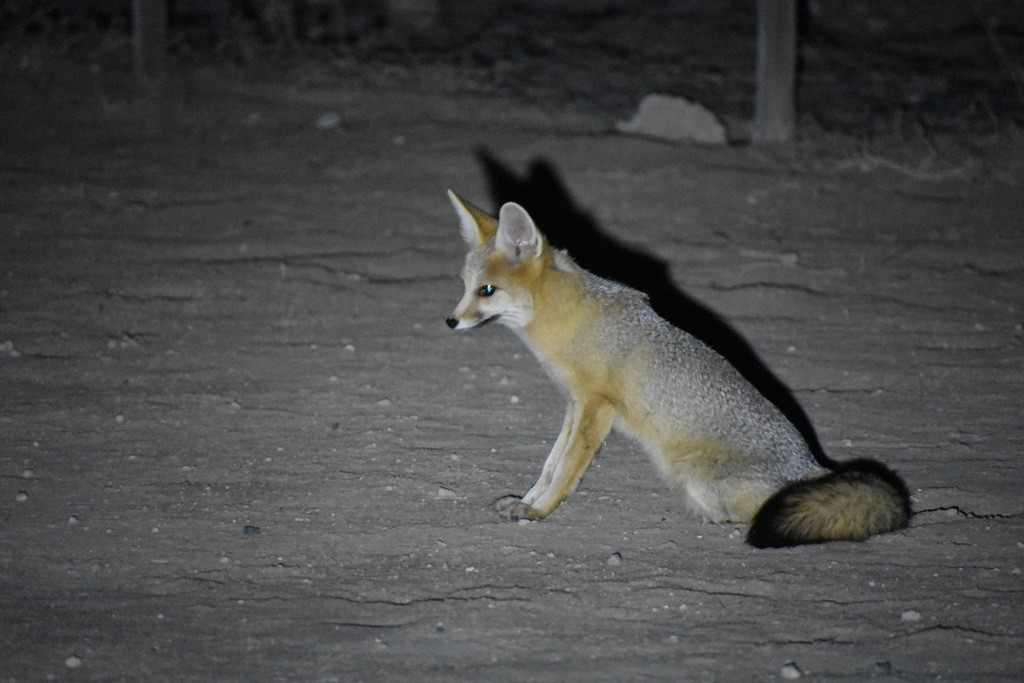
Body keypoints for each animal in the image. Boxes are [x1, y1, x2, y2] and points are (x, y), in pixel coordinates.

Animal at [444, 189, 909, 548]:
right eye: (465, 287)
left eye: (487, 291)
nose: (450, 322)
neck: (573, 320)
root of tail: (812, 468)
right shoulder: (575, 404)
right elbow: (550, 463)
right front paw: (526, 500)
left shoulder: (597, 408)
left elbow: (565, 471)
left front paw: (538, 511)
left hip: (694, 476)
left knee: (747, 514)